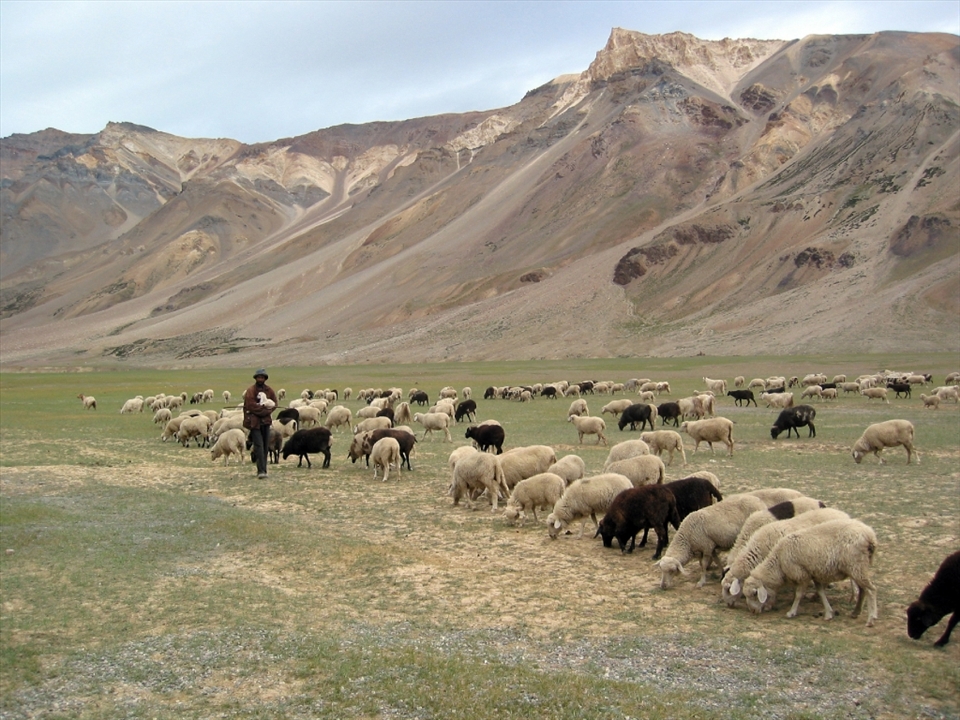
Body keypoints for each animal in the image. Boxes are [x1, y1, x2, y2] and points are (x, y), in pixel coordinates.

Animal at [741, 518, 879, 626]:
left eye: (754, 593)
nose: (752, 611)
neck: (778, 562)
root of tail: (870, 535)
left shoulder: (802, 574)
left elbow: (799, 595)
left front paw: (791, 612)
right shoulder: (814, 574)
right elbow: (821, 592)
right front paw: (829, 613)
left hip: (856, 566)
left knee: (871, 590)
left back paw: (871, 618)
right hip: (856, 568)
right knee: (863, 590)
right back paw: (856, 612)